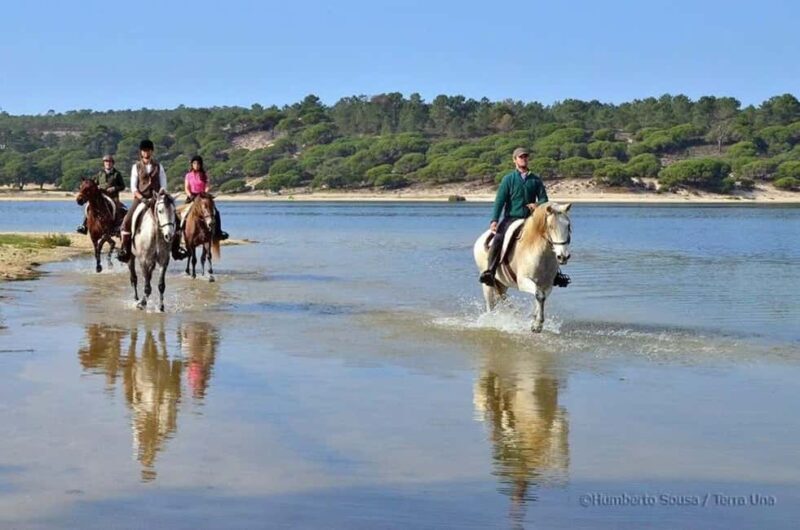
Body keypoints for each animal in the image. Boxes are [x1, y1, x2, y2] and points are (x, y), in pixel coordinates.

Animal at [473, 202, 572, 333]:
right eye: (551, 227)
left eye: (568, 225)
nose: (563, 257)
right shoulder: (524, 281)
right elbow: (540, 296)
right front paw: (538, 324)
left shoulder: (546, 284)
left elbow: (541, 297)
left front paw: (535, 321)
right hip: (487, 285)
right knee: (490, 305)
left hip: (502, 284)